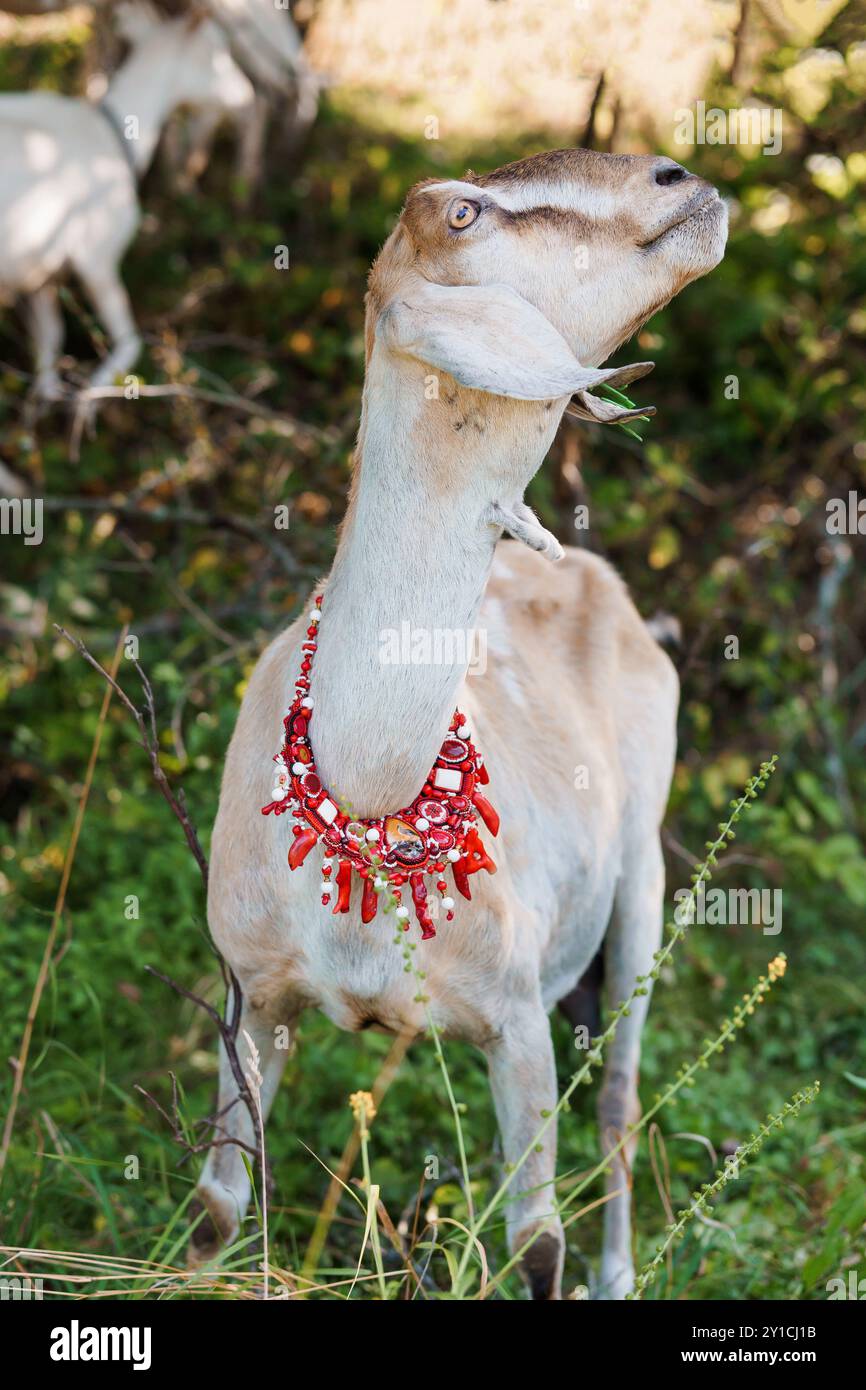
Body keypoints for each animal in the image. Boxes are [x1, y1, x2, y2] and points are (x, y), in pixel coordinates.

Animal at [0, 2, 254, 405]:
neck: (115, 130)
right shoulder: (97, 258)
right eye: (218, 51)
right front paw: (86, 402)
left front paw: (44, 404)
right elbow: (129, 344)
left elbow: (49, 342)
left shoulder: (39, 272)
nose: (247, 96)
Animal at [193, 146, 728, 1295]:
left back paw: (623, 1273)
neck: (367, 789)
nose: (682, 180)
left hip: (642, 883)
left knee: (619, 1095)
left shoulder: (515, 1016)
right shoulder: (249, 995)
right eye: (461, 213)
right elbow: (218, 1207)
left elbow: (536, 1242)